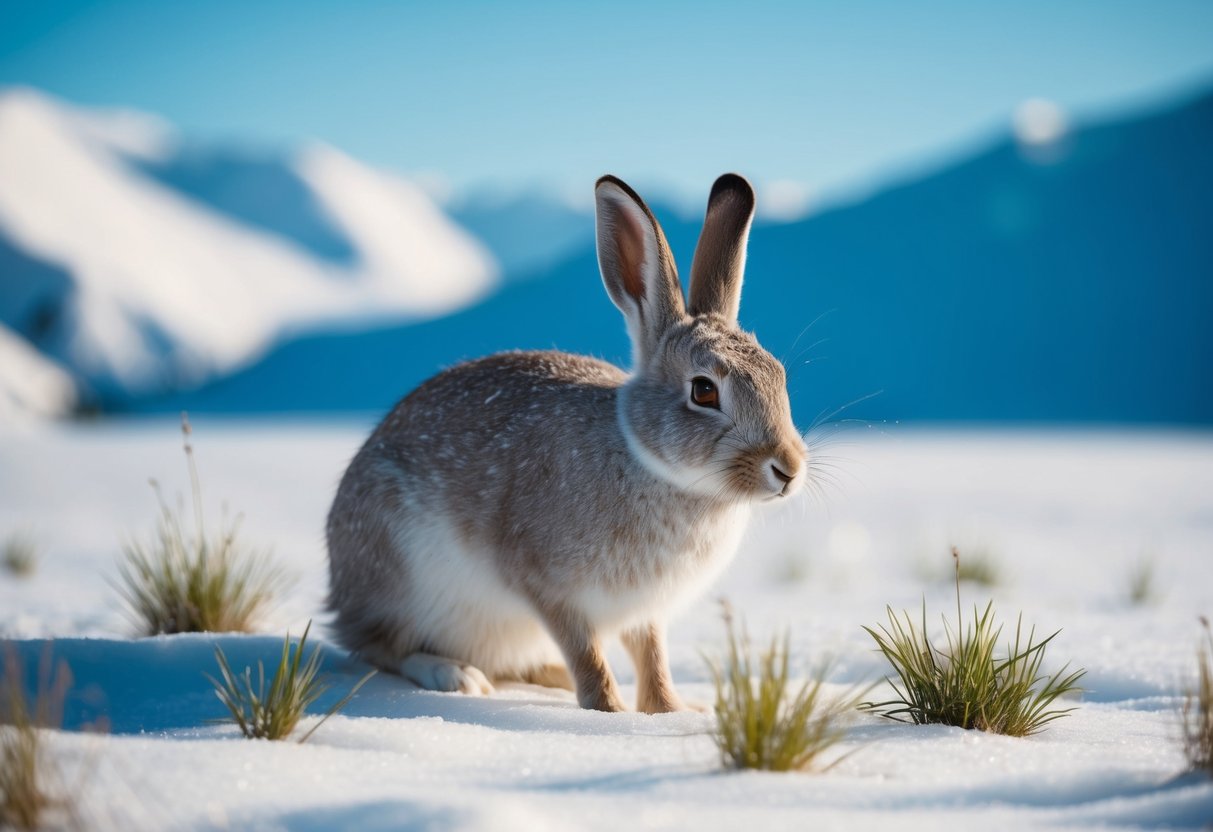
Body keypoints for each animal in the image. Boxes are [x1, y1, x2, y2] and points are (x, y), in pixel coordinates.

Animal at [326, 173, 807, 712]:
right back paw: (454, 675)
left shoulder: (644, 613)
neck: (653, 466)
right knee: (379, 646)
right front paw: (609, 710)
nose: (788, 468)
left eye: (779, 377)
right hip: (398, 570)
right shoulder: (550, 589)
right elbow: (587, 654)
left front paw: (671, 711)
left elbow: (652, 658)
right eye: (704, 391)